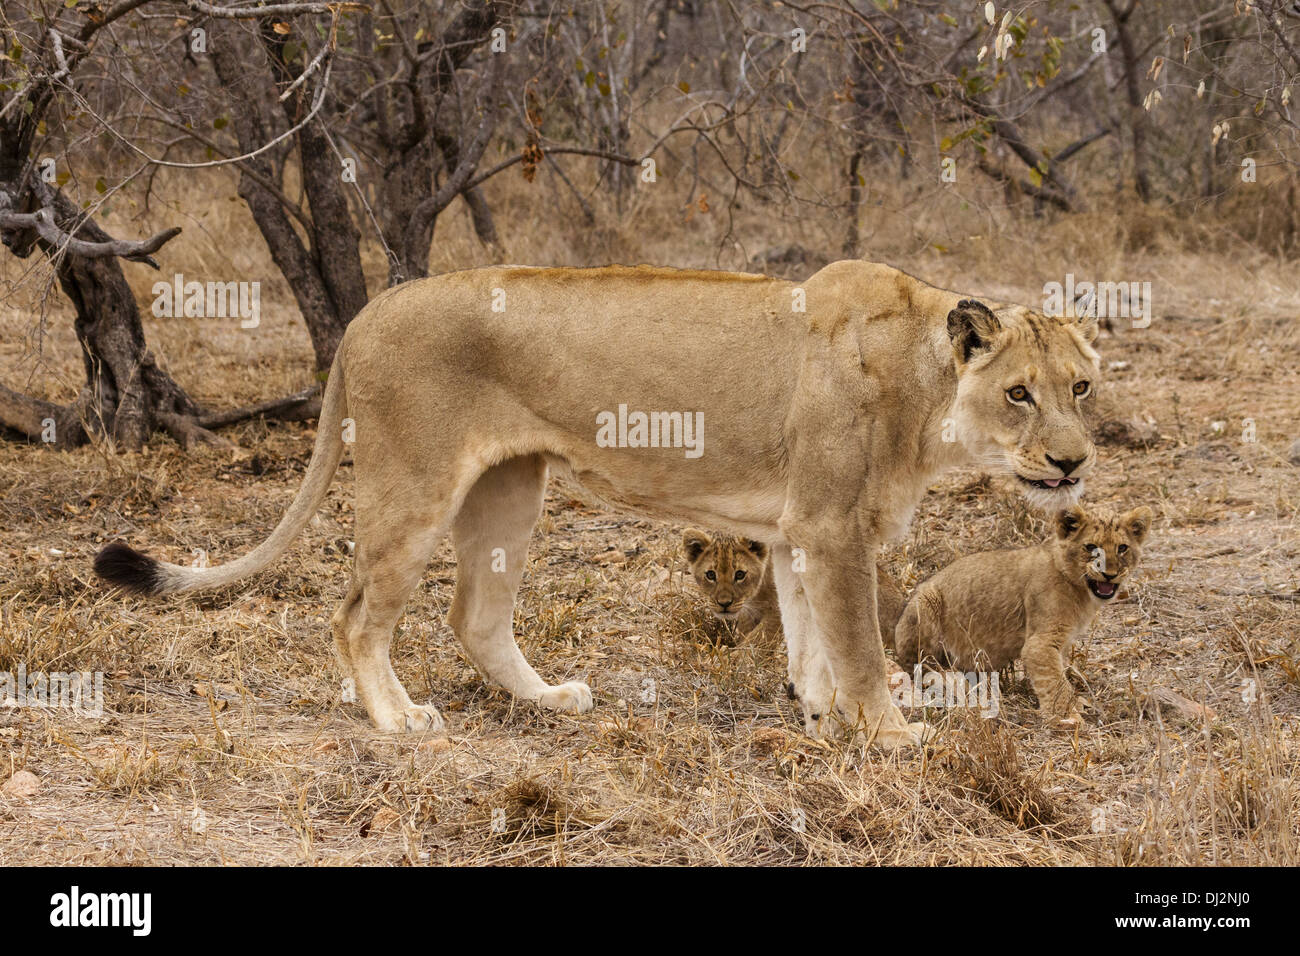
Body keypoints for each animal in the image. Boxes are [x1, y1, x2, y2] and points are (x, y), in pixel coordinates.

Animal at [94, 260, 1100, 750]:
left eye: (1081, 387)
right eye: (1019, 394)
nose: (1073, 461)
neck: (928, 395)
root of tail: (363, 315)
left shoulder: (796, 534)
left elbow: (811, 642)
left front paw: (820, 722)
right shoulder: (830, 526)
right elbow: (858, 648)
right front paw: (892, 736)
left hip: (508, 488)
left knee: (474, 616)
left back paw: (547, 699)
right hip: (412, 488)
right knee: (353, 617)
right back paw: (397, 721)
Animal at [894, 503, 1151, 724]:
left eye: (1122, 548)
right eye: (1091, 548)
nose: (1109, 574)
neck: (1081, 590)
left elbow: (1059, 673)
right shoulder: (1040, 643)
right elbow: (1055, 681)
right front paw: (1067, 717)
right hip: (926, 602)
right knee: (920, 668)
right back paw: (954, 682)